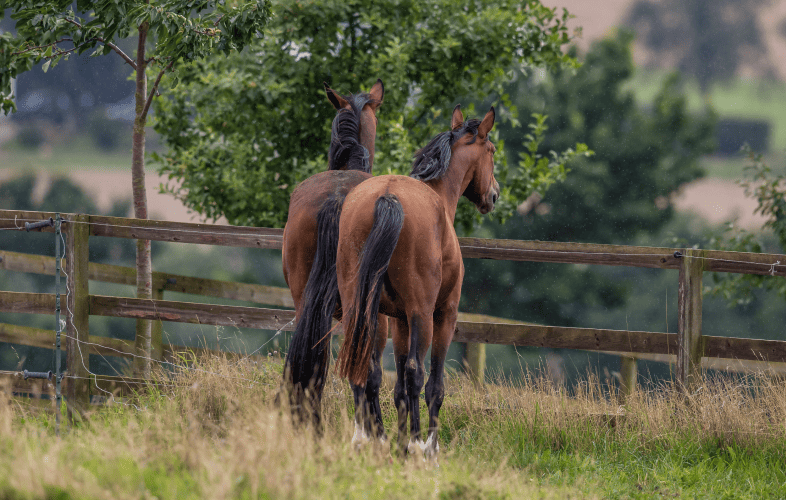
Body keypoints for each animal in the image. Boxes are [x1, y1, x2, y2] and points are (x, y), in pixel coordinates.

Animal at [335, 104, 499, 457]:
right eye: (491, 150)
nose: (493, 195)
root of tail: (387, 197)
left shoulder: (399, 320)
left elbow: (396, 386)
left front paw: (400, 444)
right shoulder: (443, 315)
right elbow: (433, 383)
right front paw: (426, 447)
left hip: (362, 307)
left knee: (364, 364)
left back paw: (368, 438)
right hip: (423, 315)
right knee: (416, 372)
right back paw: (415, 443)